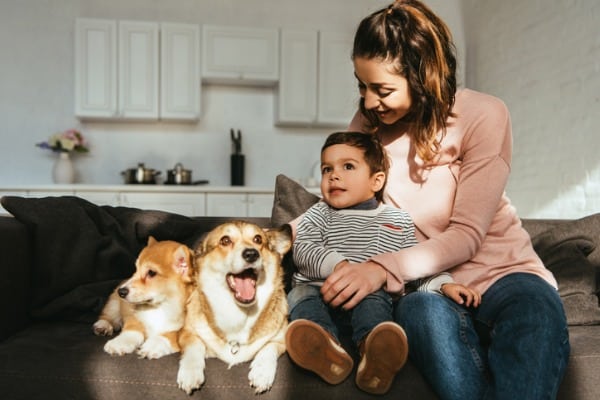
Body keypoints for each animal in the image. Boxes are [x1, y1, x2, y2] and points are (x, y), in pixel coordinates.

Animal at [177, 222, 292, 394]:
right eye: (225, 241)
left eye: (258, 239)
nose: (251, 254)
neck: (239, 312)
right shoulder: (187, 332)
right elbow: (194, 346)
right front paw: (190, 373)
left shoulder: (281, 339)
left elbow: (268, 348)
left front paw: (262, 372)